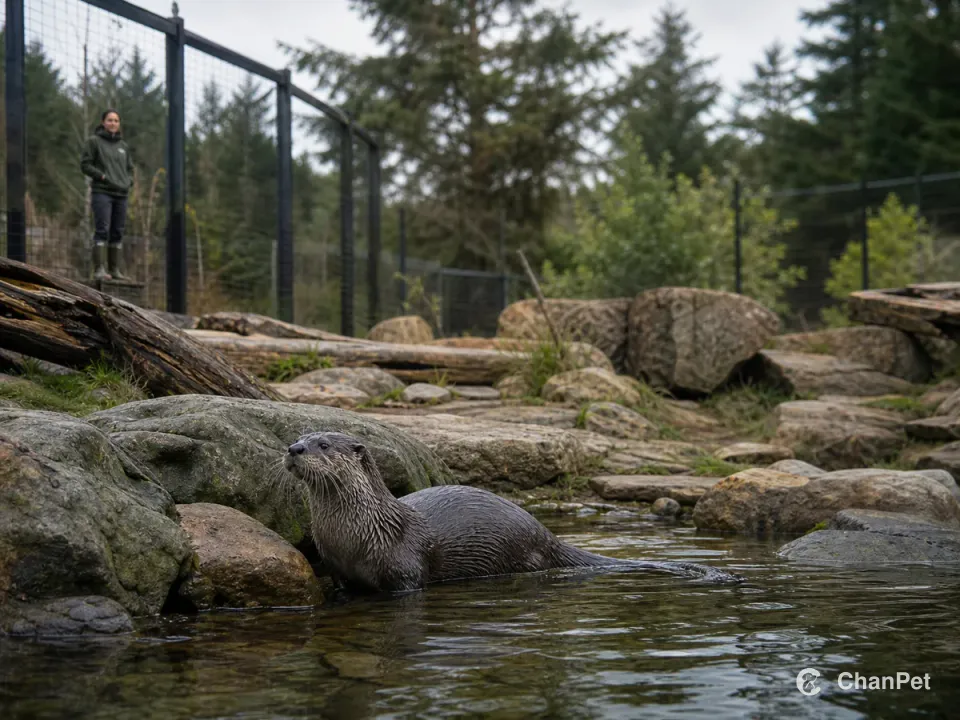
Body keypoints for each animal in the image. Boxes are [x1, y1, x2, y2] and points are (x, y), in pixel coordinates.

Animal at [282, 431, 742, 593]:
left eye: (324, 444)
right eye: (301, 435)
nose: (294, 448)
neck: (361, 533)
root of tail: (546, 533)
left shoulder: (404, 575)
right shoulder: (339, 569)